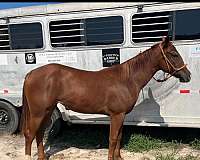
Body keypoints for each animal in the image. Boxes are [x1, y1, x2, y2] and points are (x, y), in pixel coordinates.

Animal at [21, 36, 191, 160]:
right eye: (174, 54)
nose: (187, 75)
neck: (126, 79)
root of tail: (31, 74)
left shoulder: (121, 115)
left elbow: (119, 137)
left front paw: (119, 157)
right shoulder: (116, 115)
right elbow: (113, 138)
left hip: (47, 111)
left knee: (39, 133)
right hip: (38, 113)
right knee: (30, 134)